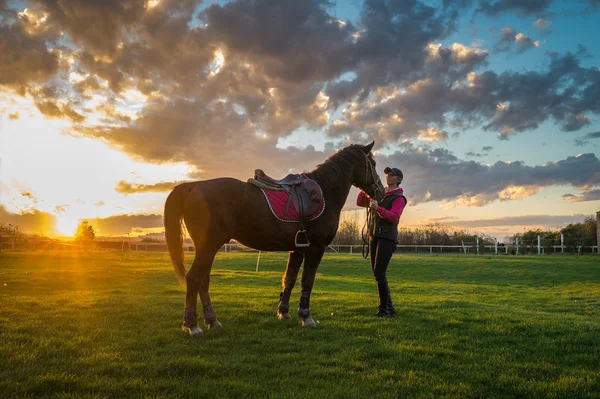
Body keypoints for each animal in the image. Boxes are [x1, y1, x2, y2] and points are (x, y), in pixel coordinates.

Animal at [164, 142, 384, 336]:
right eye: (373, 164)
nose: (380, 191)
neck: (325, 192)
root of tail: (194, 186)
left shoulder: (297, 249)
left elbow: (289, 280)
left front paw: (284, 314)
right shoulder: (315, 248)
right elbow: (307, 281)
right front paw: (306, 317)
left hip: (207, 248)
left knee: (203, 281)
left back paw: (212, 321)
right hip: (208, 247)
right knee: (194, 279)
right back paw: (192, 326)